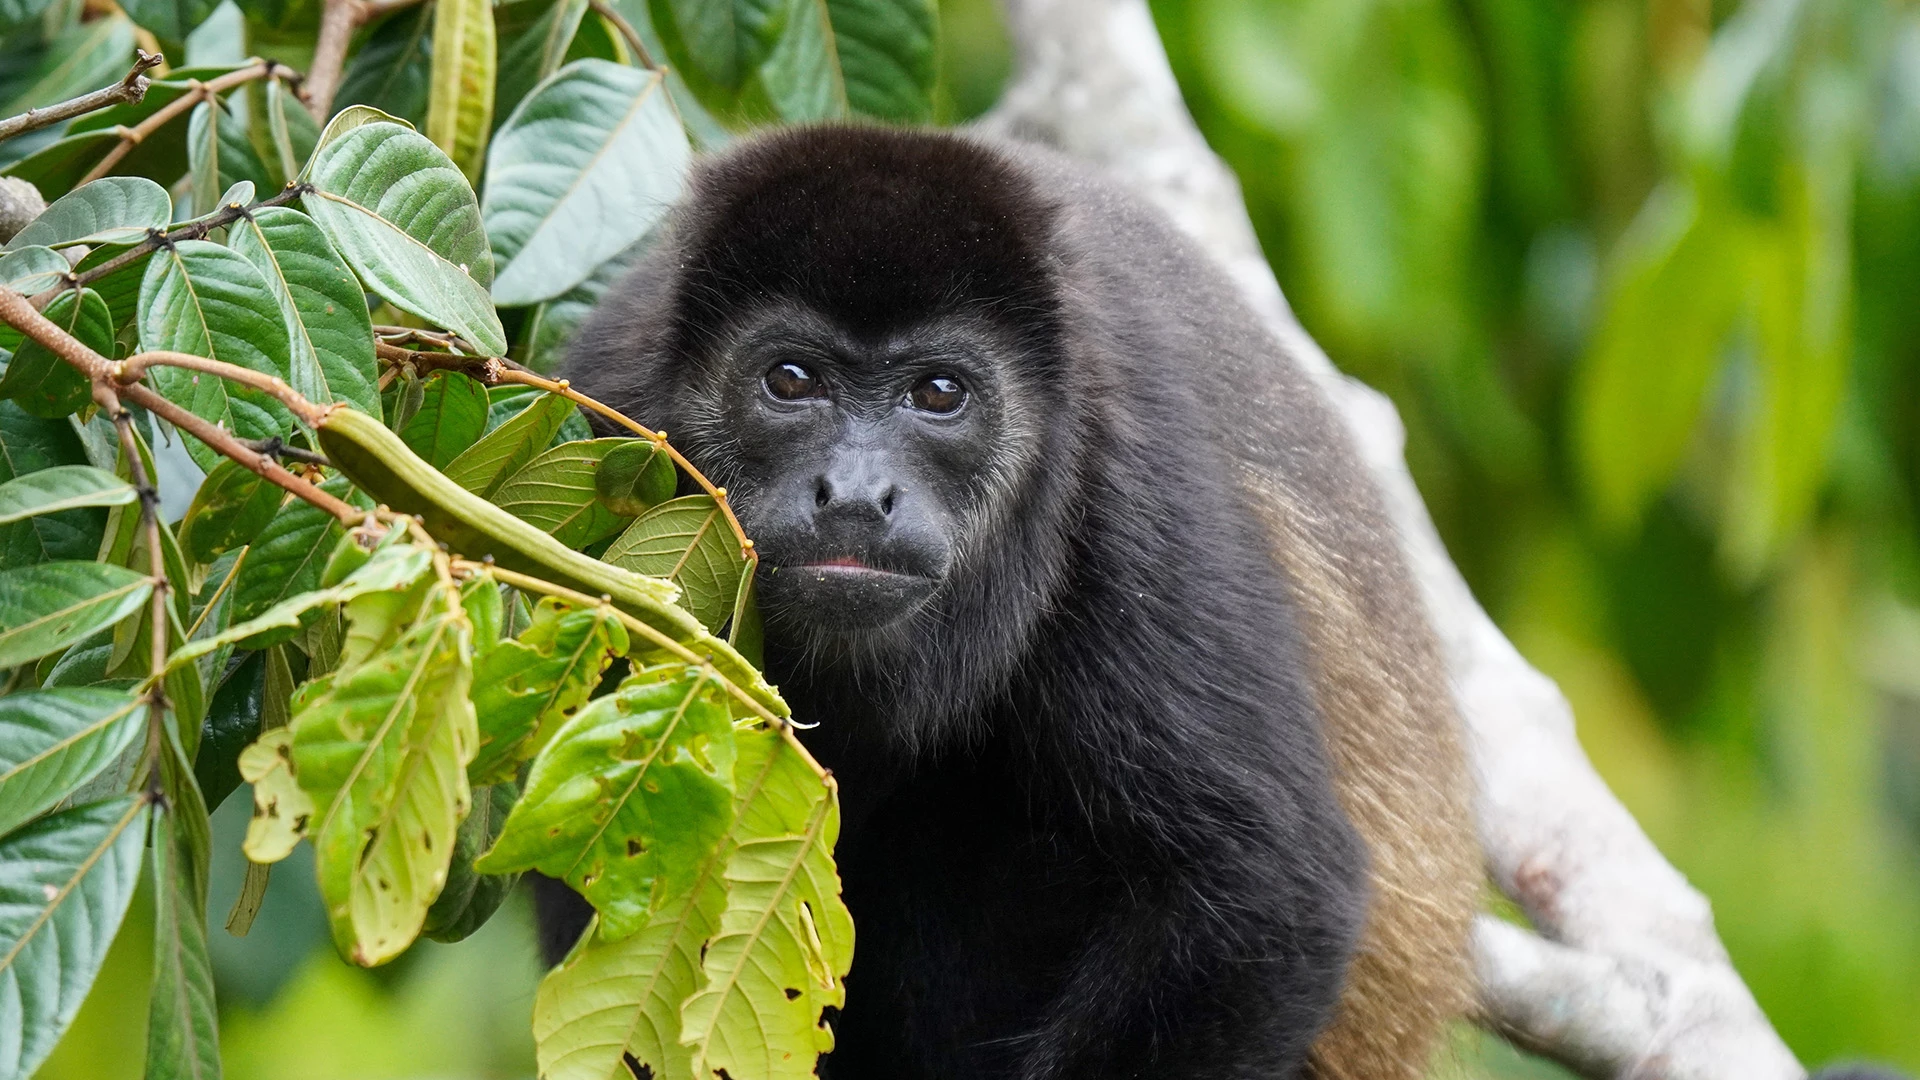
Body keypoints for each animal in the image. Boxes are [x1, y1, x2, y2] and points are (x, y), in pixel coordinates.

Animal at [548, 124, 1483, 1080]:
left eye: (939, 393)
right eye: (791, 379)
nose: (856, 494)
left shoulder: (1132, 476)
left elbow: (1267, 880)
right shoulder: (610, 395)